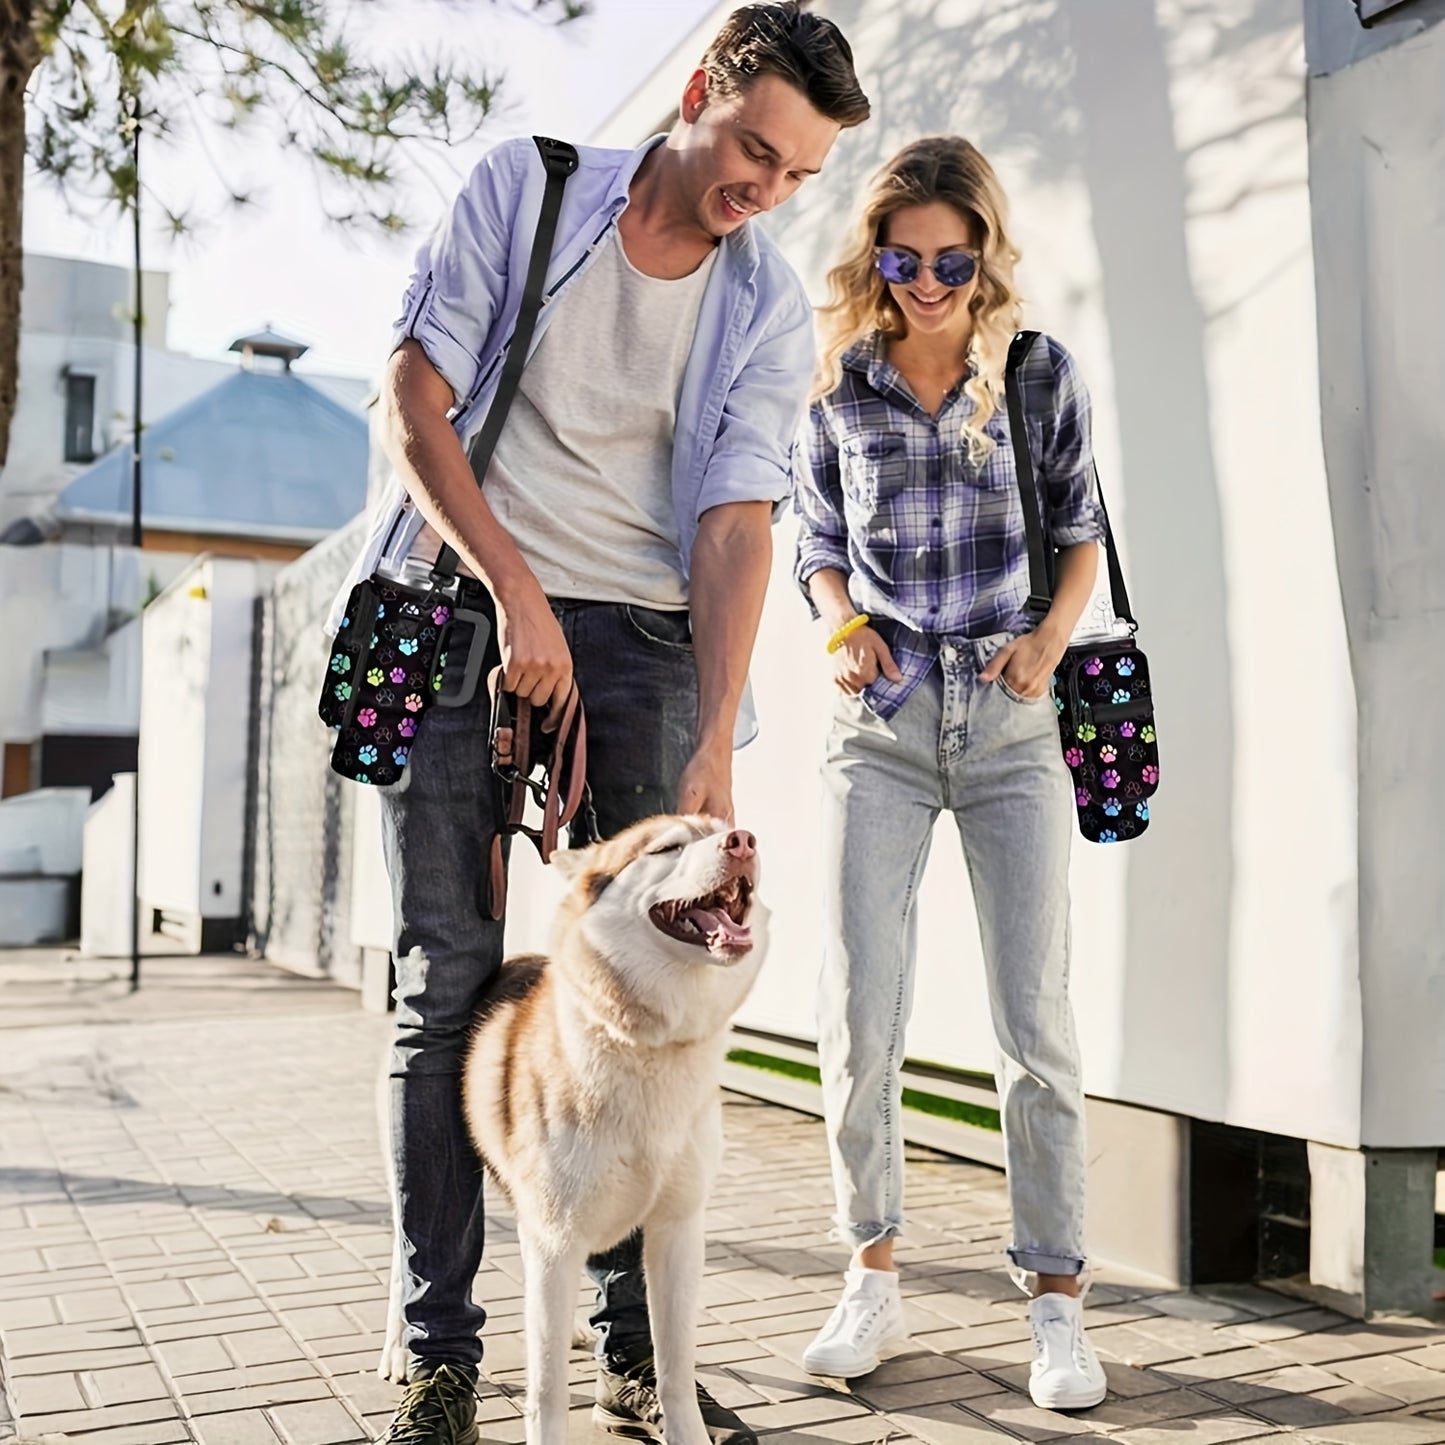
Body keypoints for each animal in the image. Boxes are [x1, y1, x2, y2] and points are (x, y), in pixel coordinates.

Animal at [381, 814, 768, 1445]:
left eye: (721, 828)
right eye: (666, 848)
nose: (743, 842)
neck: (647, 1045)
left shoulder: (678, 1231)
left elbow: (676, 1373)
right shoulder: (554, 1233)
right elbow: (547, 1391)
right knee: (407, 1259)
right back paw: (400, 1350)